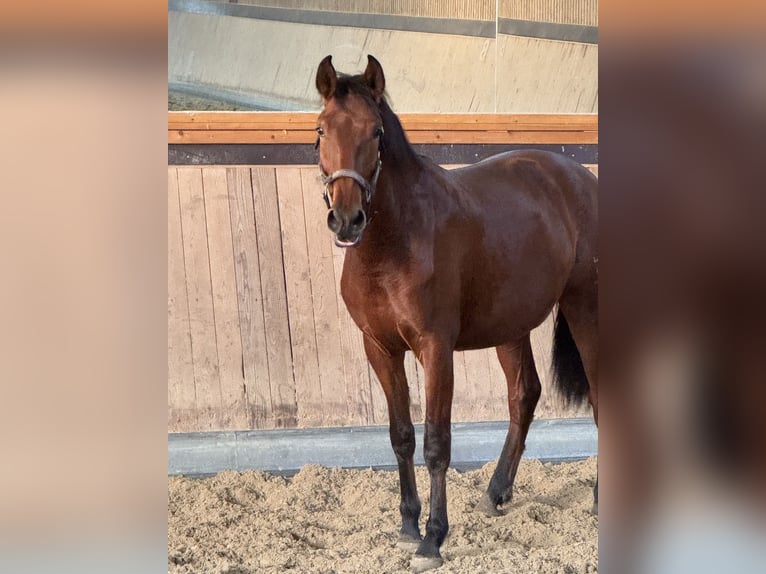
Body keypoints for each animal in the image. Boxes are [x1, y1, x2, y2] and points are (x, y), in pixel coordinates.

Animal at [313, 54, 598, 572]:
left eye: (376, 132)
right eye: (321, 130)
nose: (346, 219)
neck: (394, 244)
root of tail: (583, 179)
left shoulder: (435, 349)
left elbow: (436, 444)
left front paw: (433, 539)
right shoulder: (380, 348)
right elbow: (401, 436)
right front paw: (408, 525)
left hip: (587, 311)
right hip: (511, 327)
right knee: (524, 394)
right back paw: (496, 492)